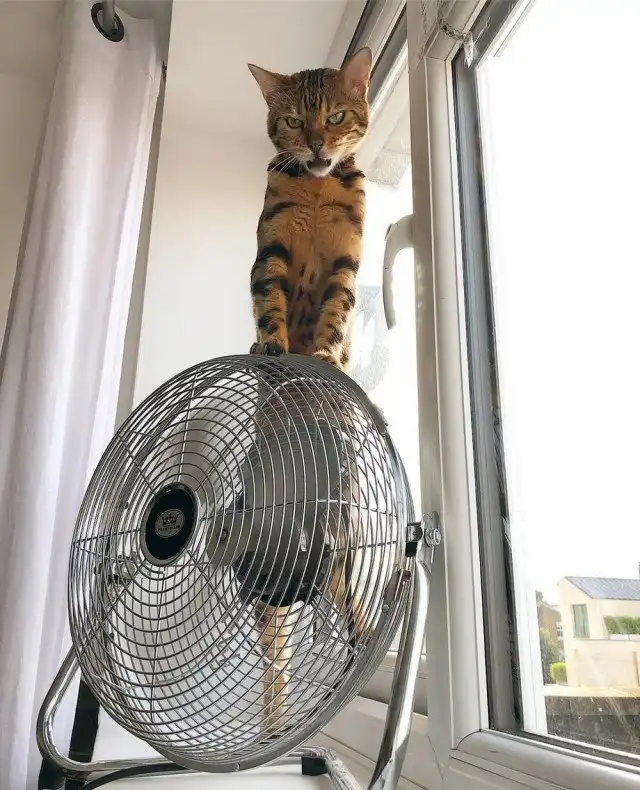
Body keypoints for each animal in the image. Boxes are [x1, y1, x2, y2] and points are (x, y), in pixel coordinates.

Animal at [248, 47, 372, 370]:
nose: (316, 144)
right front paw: (271, 343)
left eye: (336, 117)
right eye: (293, 122)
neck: (318, 187)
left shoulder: (346, 259)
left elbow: (338, 309)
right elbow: (268, 297)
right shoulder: (271, 247)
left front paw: (327, 355)